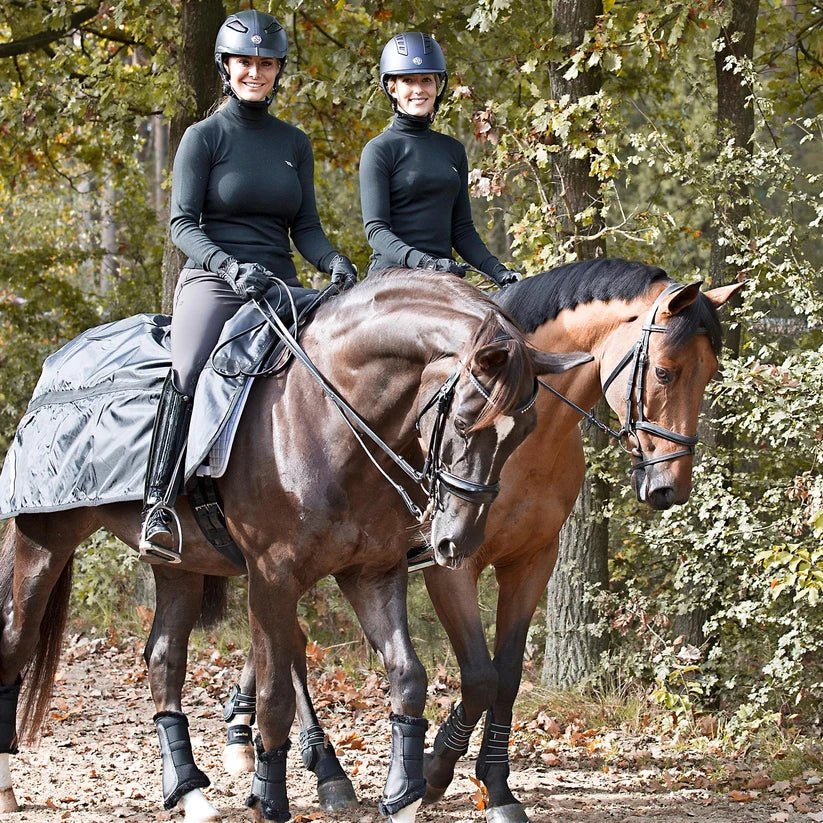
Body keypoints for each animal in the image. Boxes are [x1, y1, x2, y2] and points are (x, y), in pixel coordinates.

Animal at [0, 269, 590, 823]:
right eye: (467, 419)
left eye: (526, 432)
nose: (457, 541)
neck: (325, 418)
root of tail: (57, 366)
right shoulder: (272, 578)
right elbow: (275, 697)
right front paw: (268, 797)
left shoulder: (372, 572)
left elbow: (409, 677)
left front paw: (405, 795)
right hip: (44, 541)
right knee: (16, 641)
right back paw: (9, 786)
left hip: (179, 565)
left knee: (164, 660)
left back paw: (190, 793)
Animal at [218, 259, 744, 822]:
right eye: (664, 371)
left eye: (710, 372)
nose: (669, 488)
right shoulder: (452, 566)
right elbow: (479, 677)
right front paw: (433, 772)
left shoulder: (532, 561)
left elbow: (507, 676)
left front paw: (497, 786)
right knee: (288, 645)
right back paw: (322, 769)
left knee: (284, 640)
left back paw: (262, 743)